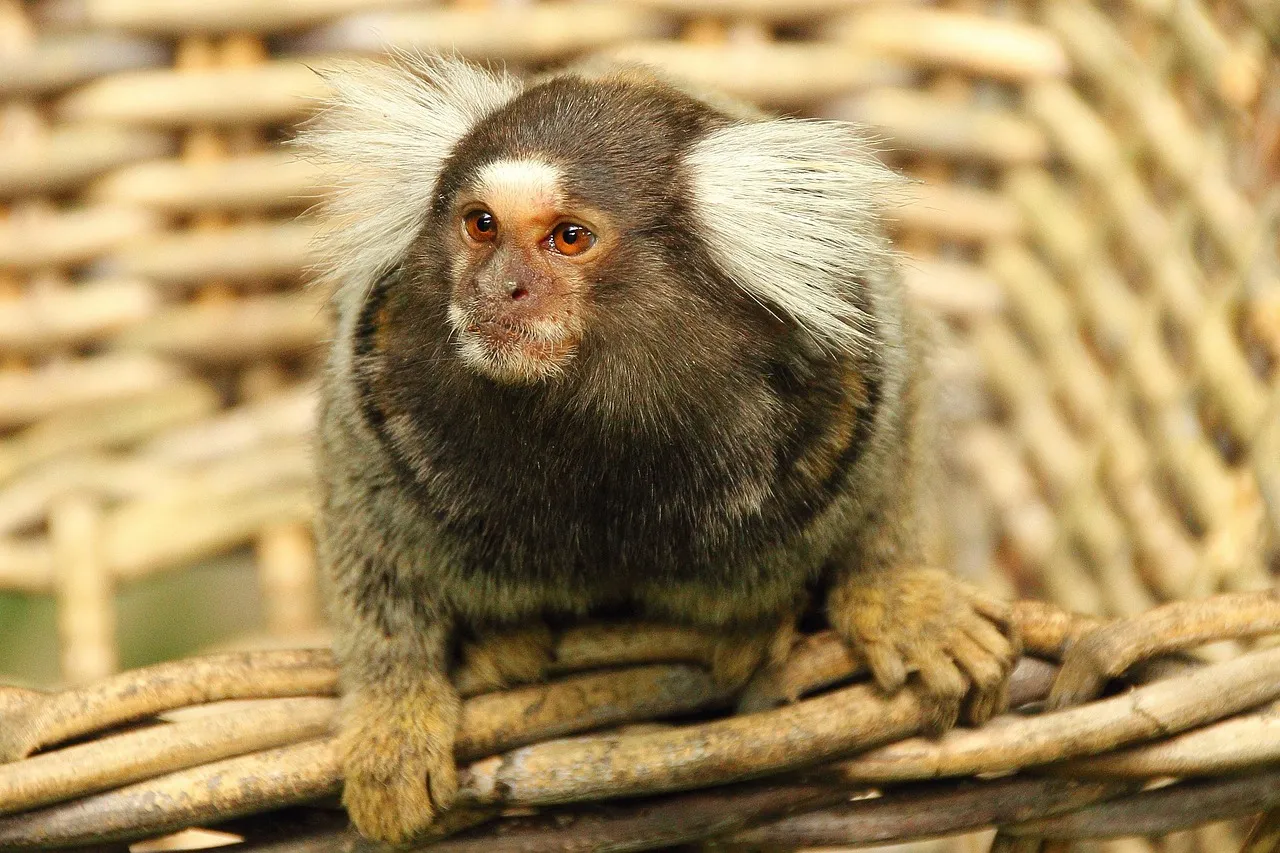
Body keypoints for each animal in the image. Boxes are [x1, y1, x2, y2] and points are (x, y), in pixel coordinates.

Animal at [301, 54, 1019, 845]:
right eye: (480, 224)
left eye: (569, 237)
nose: (497, 288)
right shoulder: (372, 397)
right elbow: (369, 539)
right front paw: (393, 713)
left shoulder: (861, 348)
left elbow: (897, 428)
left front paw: (898, 593)